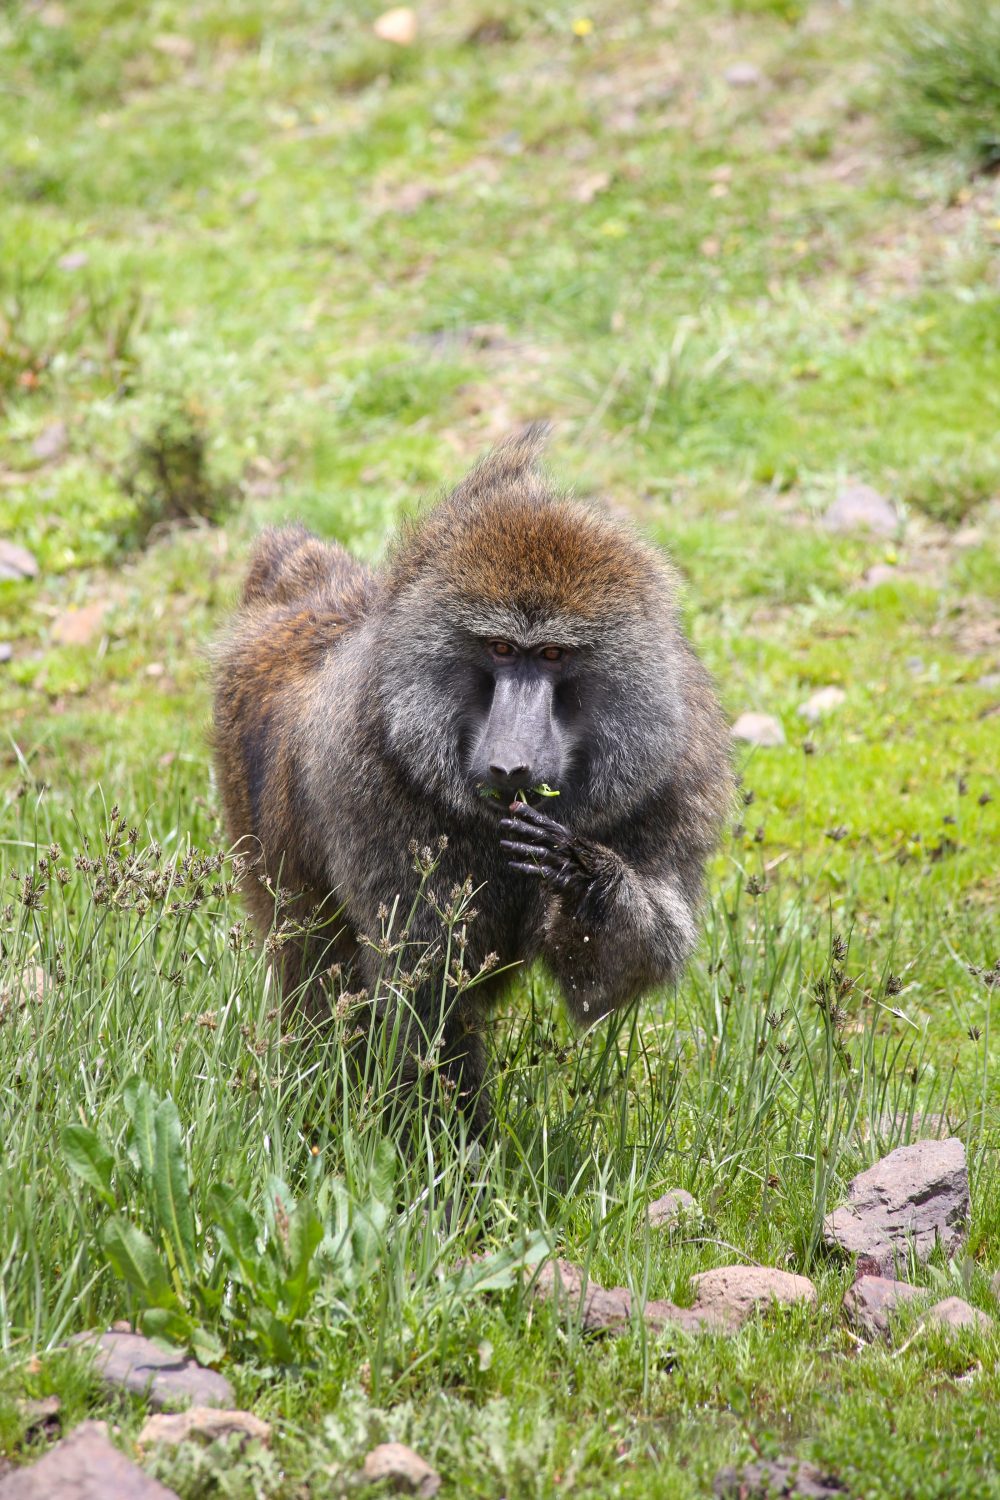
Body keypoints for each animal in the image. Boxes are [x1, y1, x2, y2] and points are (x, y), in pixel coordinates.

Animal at [211, 428, 732, 1131]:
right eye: (501, 649)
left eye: (554, 654)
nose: (510, 765)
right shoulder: (367, 788)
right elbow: (424, 996)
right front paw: (451, 1156)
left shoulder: (670, 782)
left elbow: (608, 977)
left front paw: (582, 873)